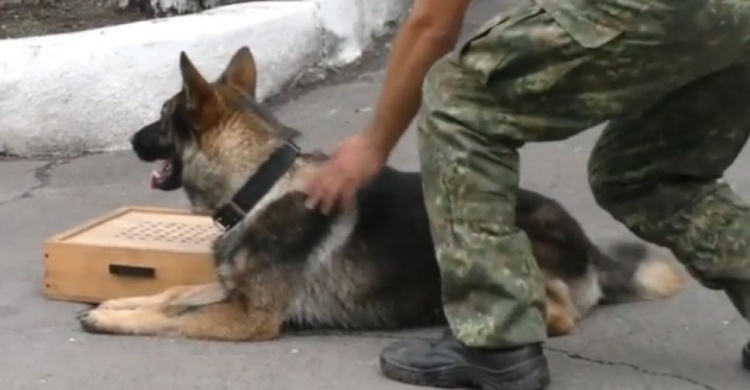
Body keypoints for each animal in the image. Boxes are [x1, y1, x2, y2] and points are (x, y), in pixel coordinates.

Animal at [78, 46, 688, 342]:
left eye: (161, 118)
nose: (130, 140)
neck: (260, 183)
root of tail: (589, 250)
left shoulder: (250, 318)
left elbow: (175, 318)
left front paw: (117, 320)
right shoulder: (233, 294)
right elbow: (173, 295)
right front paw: (116, 304)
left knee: (553, 314)